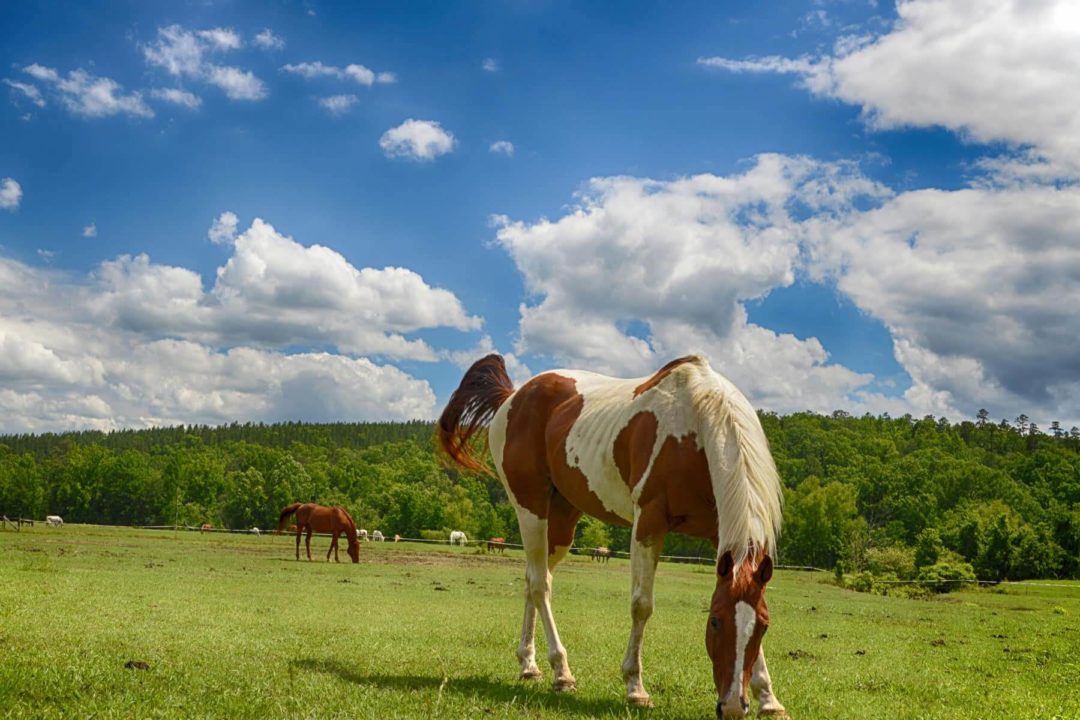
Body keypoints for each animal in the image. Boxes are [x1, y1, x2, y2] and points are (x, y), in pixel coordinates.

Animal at [438, 356, 786, 720]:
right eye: (715, 622)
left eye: (763, 626)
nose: (732, 706)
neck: (696, 428)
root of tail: (513, 396)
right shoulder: (648, 524)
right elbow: (641, 605)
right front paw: (635, 687)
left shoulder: (721, 534)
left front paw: (768, 697)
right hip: (530, 509)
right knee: (539, 585)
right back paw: (561, 671)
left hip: (562, 520)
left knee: (533, 580)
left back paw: (529, 665)